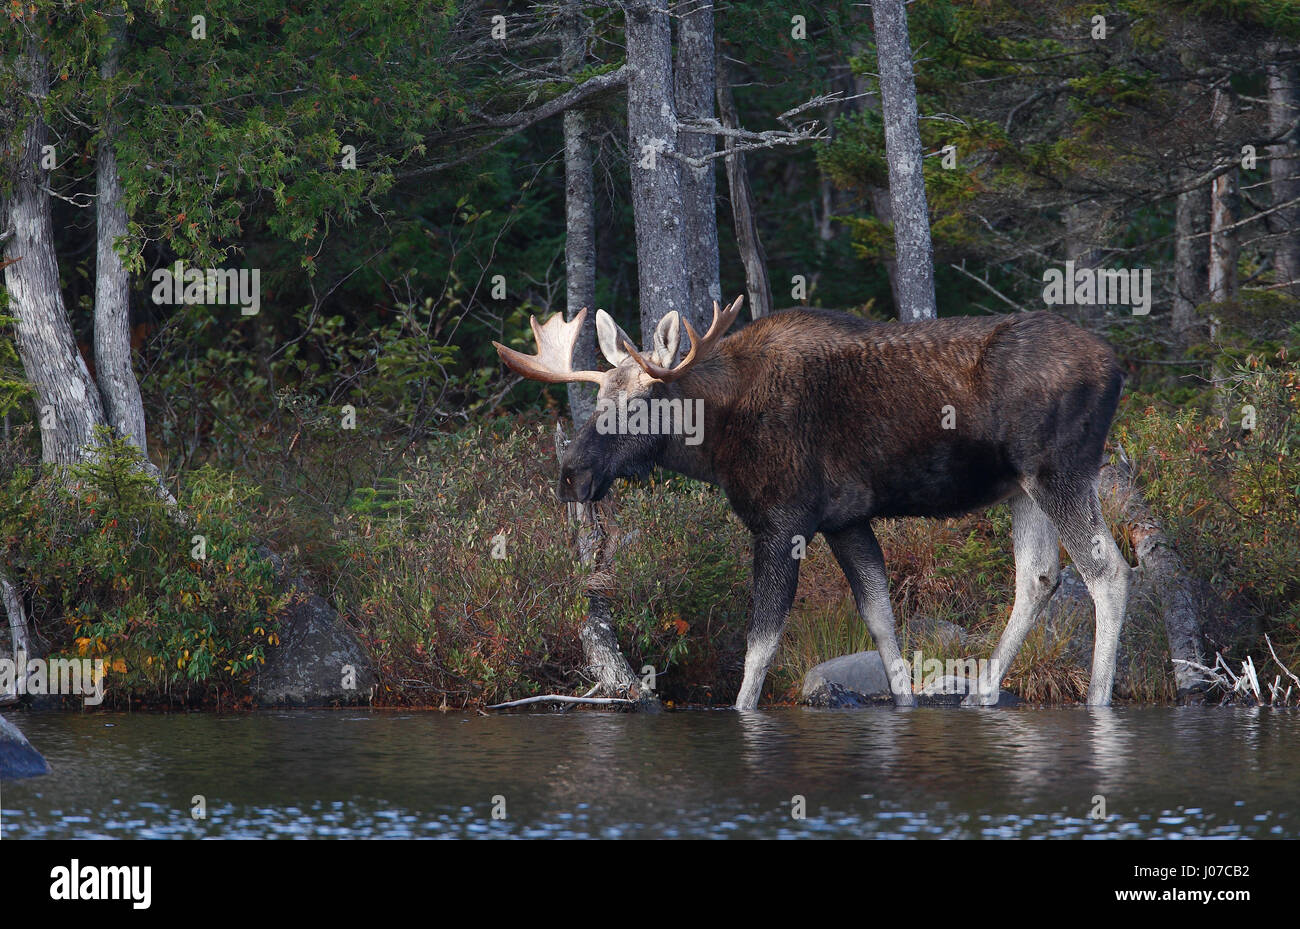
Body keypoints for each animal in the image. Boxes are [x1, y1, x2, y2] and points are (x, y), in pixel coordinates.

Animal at [491, 297, 1133, 712]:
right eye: (598, 398)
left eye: (637, 405)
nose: (572, 474)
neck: (716, 440)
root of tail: (1117, 362)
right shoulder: (846, 519)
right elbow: (881, 620)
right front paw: (905, 703)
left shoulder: (782, 521)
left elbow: (761, 645)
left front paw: (744, 713)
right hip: (1021, 486)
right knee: (1039, 575)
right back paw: (984, 692)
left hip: (1059, 470)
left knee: (1108, 569)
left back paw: (1098, 697)